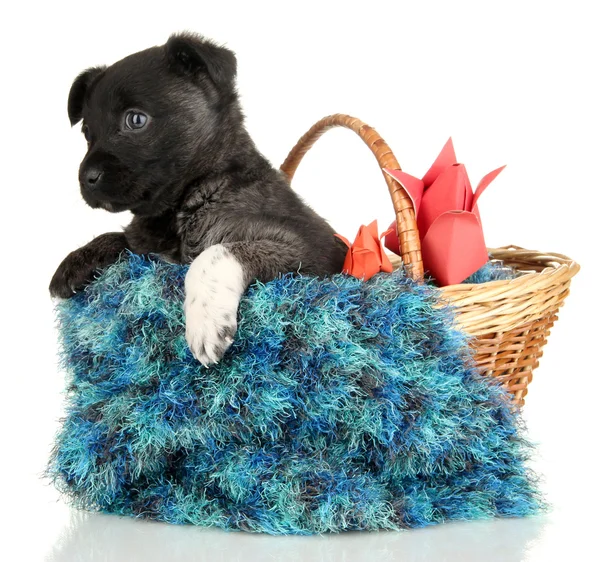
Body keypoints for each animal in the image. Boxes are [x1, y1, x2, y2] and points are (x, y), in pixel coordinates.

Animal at [50, 31, 346, 364]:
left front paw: (205, 321)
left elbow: (216, 252)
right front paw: (76, 260)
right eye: (88, 131)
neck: (187, 200)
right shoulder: (146, 249)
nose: (85, 179)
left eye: (135, 120)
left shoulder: (312, 248)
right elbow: (118, 237)